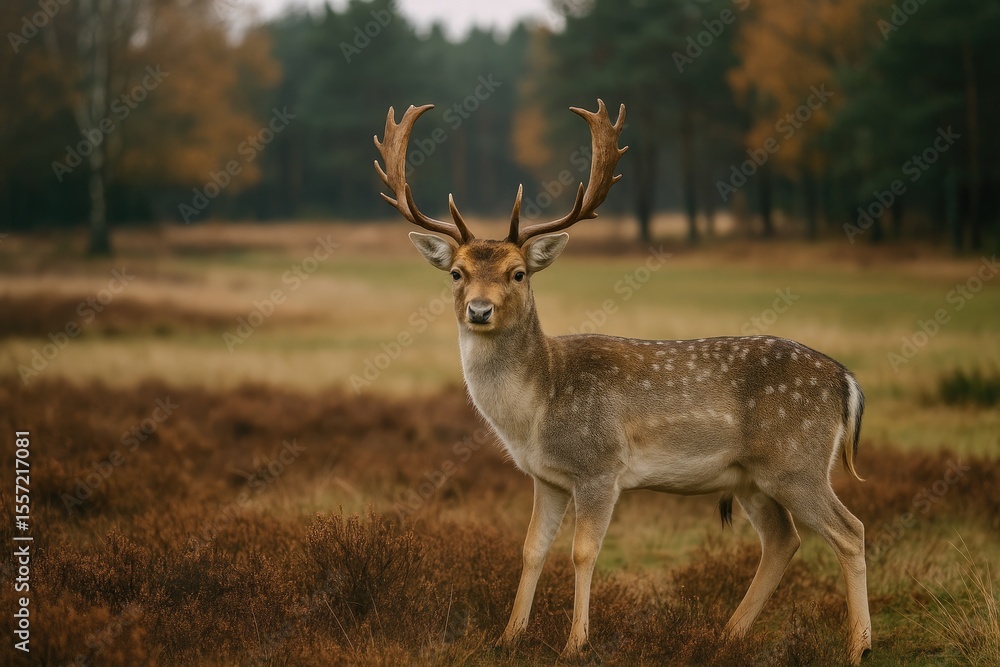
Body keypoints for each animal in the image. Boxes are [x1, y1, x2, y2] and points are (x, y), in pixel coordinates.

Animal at [374, 100, 872, 664]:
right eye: (456, 273)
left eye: (518, 273)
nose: (480, 310)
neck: (537, 408)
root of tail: (846, 381)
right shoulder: (546, 476)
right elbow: (531, 549)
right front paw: (509, 636)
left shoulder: (599, 466)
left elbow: (583, 552)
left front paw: (575, 643)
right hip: (752, 476)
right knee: (783, 539)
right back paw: (725, 636)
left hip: (797, 461)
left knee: (849, 530)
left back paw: (857, 647)